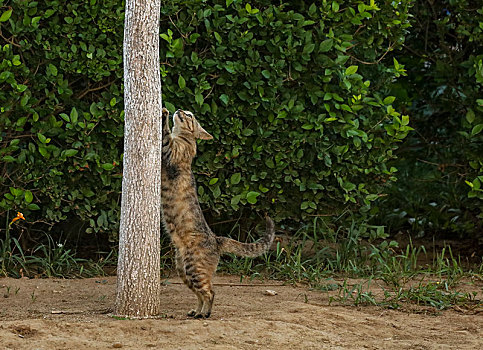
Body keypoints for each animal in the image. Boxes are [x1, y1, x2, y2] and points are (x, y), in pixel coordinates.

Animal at [163, 108, 276, 318]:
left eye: (189, 115)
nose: (180, 110)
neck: (184, 138)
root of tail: (216, 238)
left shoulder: (171, 151)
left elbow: (165, 136)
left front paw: (164, 113)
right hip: (183, 270)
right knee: (200, 293)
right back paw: (197, 311)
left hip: (193, 269)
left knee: (210, 291)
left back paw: (204, 314)